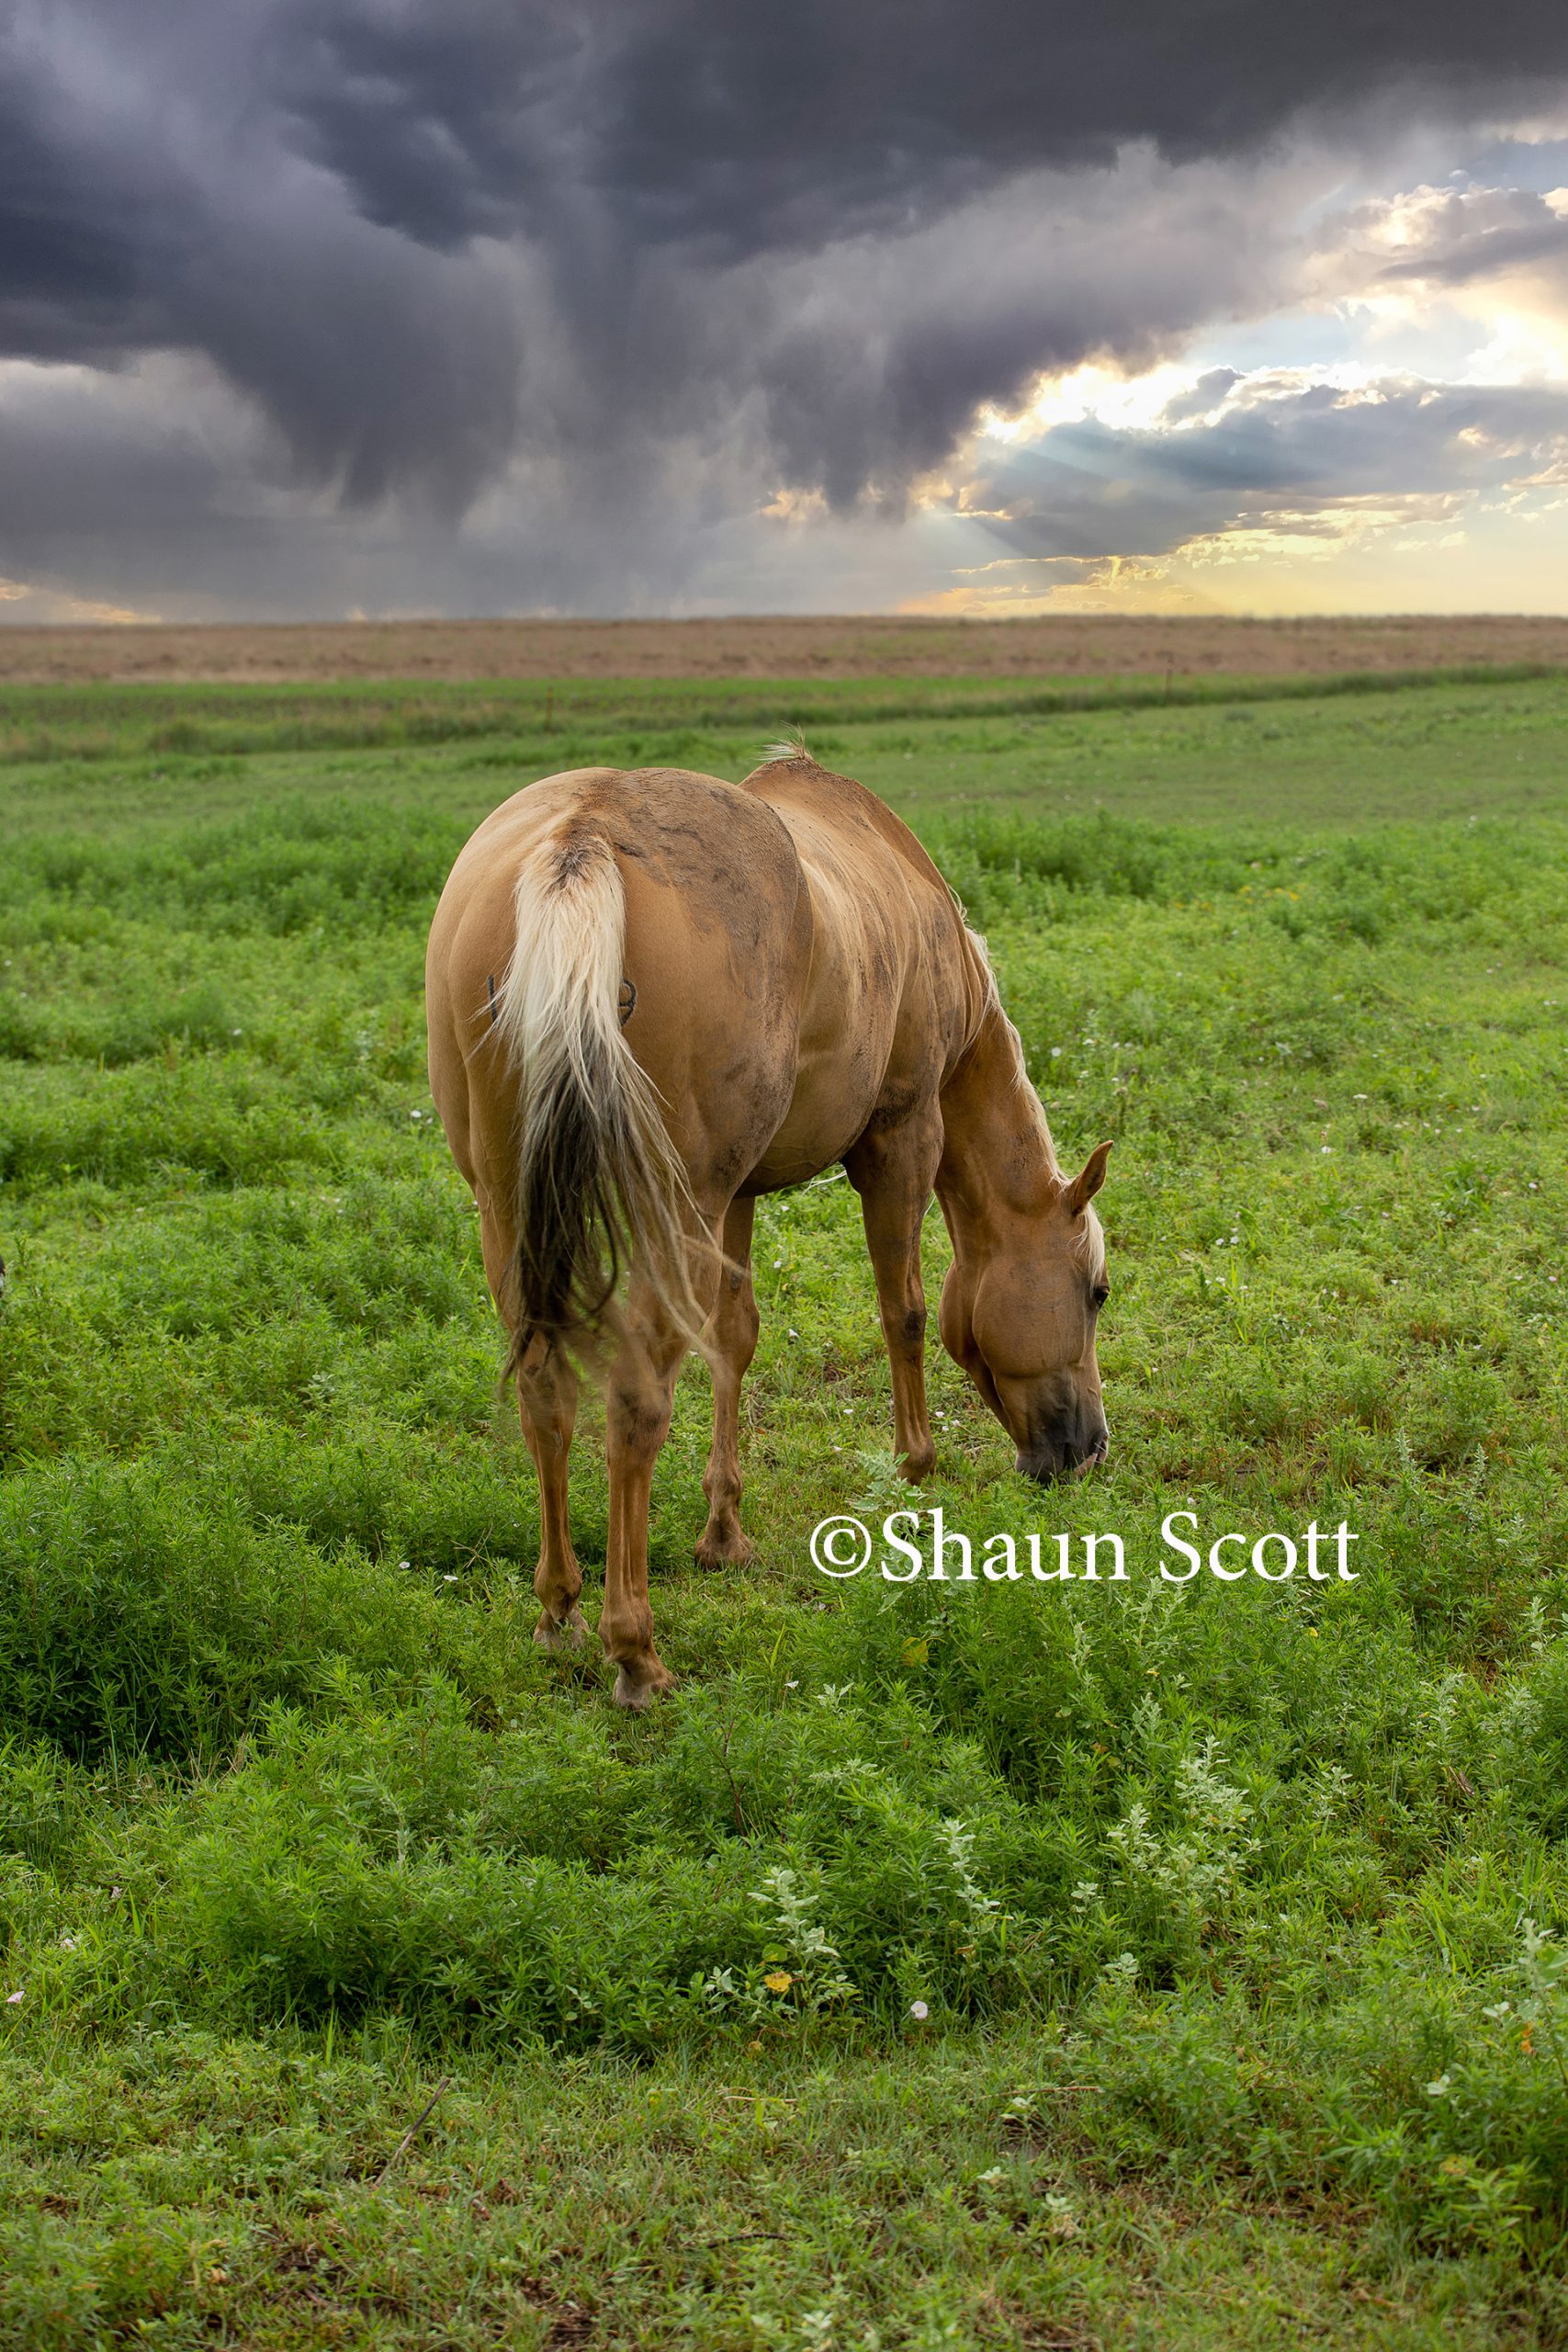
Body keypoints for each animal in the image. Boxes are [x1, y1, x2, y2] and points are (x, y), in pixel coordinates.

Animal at [425, 752, 1114, 1712]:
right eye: (1096, 1292)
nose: (1085, 1451)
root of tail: (582, 837)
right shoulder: (901, 1139)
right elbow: (902, 1311)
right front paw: (912, 1472)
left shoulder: (739, 1192)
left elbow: (735, 1340)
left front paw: (724, 1531)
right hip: (668, 1215)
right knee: (635, 1403)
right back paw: (633, 1651)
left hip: (512, 1210)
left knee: (544, 1389)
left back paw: (559, 1610)